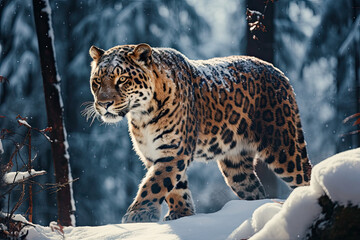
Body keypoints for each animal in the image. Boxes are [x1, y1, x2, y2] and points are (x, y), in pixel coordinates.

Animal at [86, 42, 310, 223]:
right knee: (255, 191)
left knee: (304, 174)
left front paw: (138, 215)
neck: (142, 115)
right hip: (236, 167)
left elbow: (154, 183)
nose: (104, 103)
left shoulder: (173, 151)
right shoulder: (153, 154)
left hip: (283, 147)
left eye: (122, 79)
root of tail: (278, 72)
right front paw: (182, 214)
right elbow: (174, 187)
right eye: (97, 81)